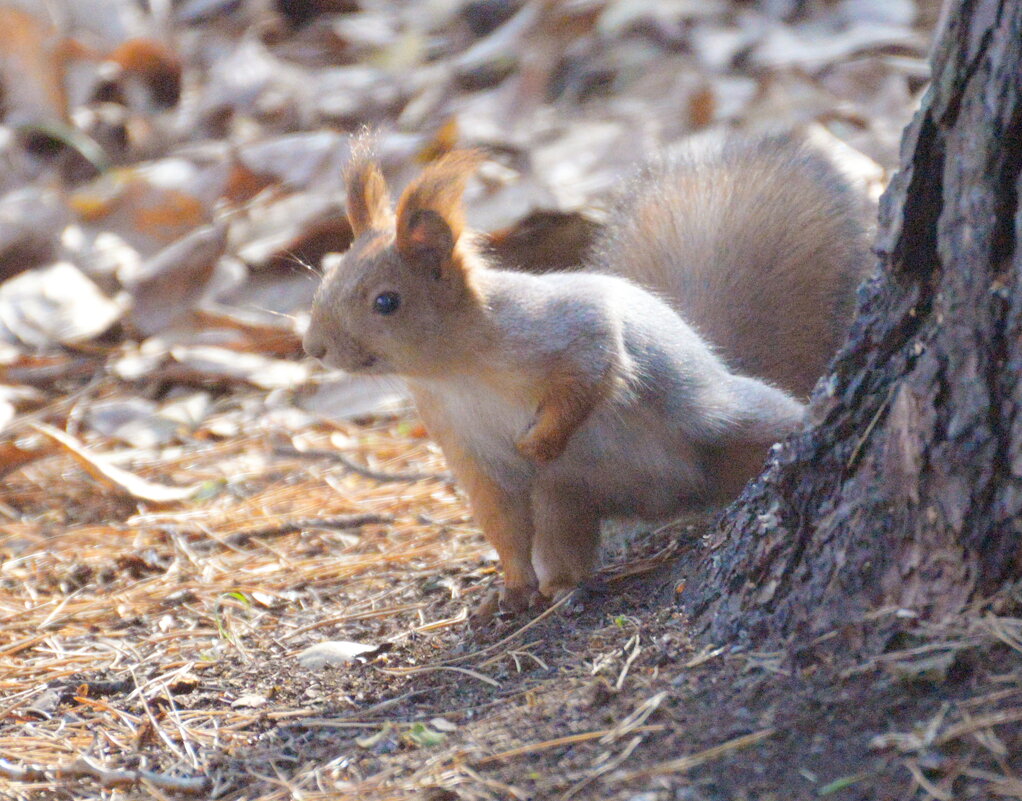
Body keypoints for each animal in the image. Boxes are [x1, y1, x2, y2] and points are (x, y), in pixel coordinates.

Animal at [304, 134, 870, 617]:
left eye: (386, 302)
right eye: (325, 281)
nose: (314, 347)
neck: (454, 371)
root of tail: (674, 497)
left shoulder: (564, 327)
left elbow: (591, 371)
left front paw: (540, 441)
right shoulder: (465, 445)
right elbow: (502, 522)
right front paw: (512, 589)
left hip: (726, 418)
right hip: (569, 496)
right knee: (563, 541)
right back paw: (558, 588)